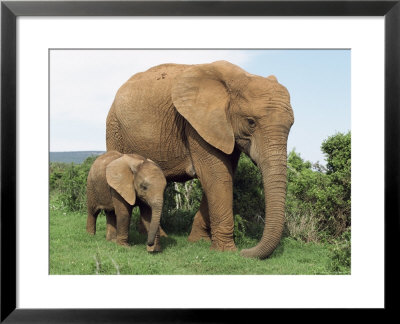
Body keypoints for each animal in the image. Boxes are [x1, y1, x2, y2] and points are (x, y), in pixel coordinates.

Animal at [105, 60, 294, 258]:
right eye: (251, 122)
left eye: (291, 124)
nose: (245, 251)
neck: (238, 78)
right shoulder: (196, 125)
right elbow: (216, 176)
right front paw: (226, 251)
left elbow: (224, 175)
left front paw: (198, 241)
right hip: (114, 128)